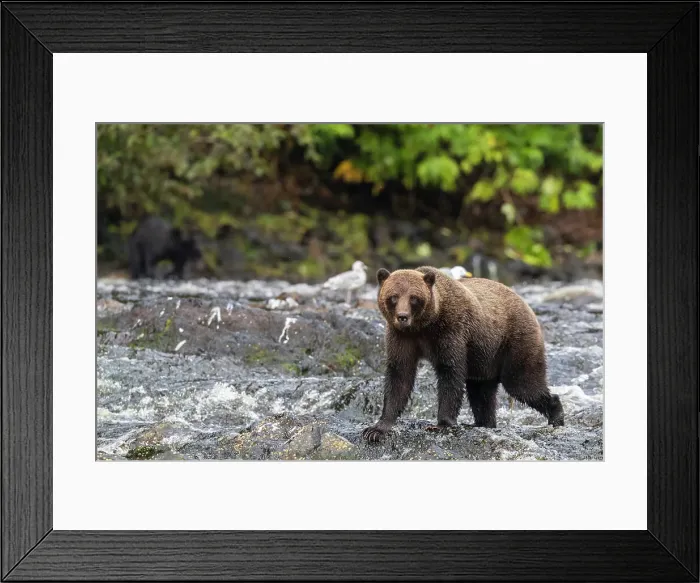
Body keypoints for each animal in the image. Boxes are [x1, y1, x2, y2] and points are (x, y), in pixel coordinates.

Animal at [361, 266, 564, 442]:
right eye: (393, 296)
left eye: (413, 298)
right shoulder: (401, 338)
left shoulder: (451, 331)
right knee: (481, 394)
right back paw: (484, 423)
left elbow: (450, 373)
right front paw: (376, 429)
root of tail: (527, 305)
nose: (402, 316)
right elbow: (399, 376)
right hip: (485, 361)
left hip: (514, 343)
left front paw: (441, 424)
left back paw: (556, 416)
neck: (423, 326)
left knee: (522, 384)